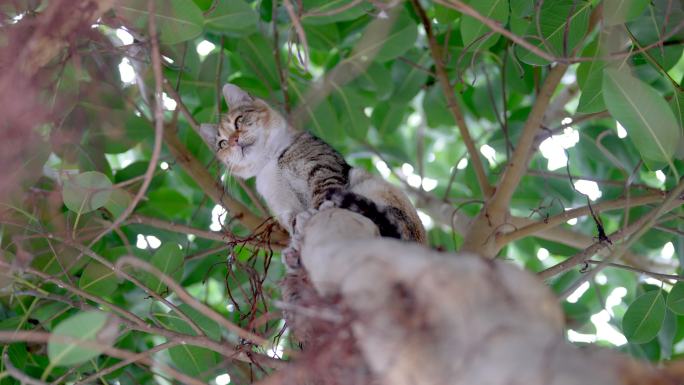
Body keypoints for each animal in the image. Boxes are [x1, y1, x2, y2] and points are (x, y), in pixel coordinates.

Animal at [198, 83, 424, 252]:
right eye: (222, 144)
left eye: (238, 121)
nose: (234, 141)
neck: (271, 161)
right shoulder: (280, 202)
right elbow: (292, 219)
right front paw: (299, 224)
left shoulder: (321, 168)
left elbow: (322, 192)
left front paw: (317, 211)